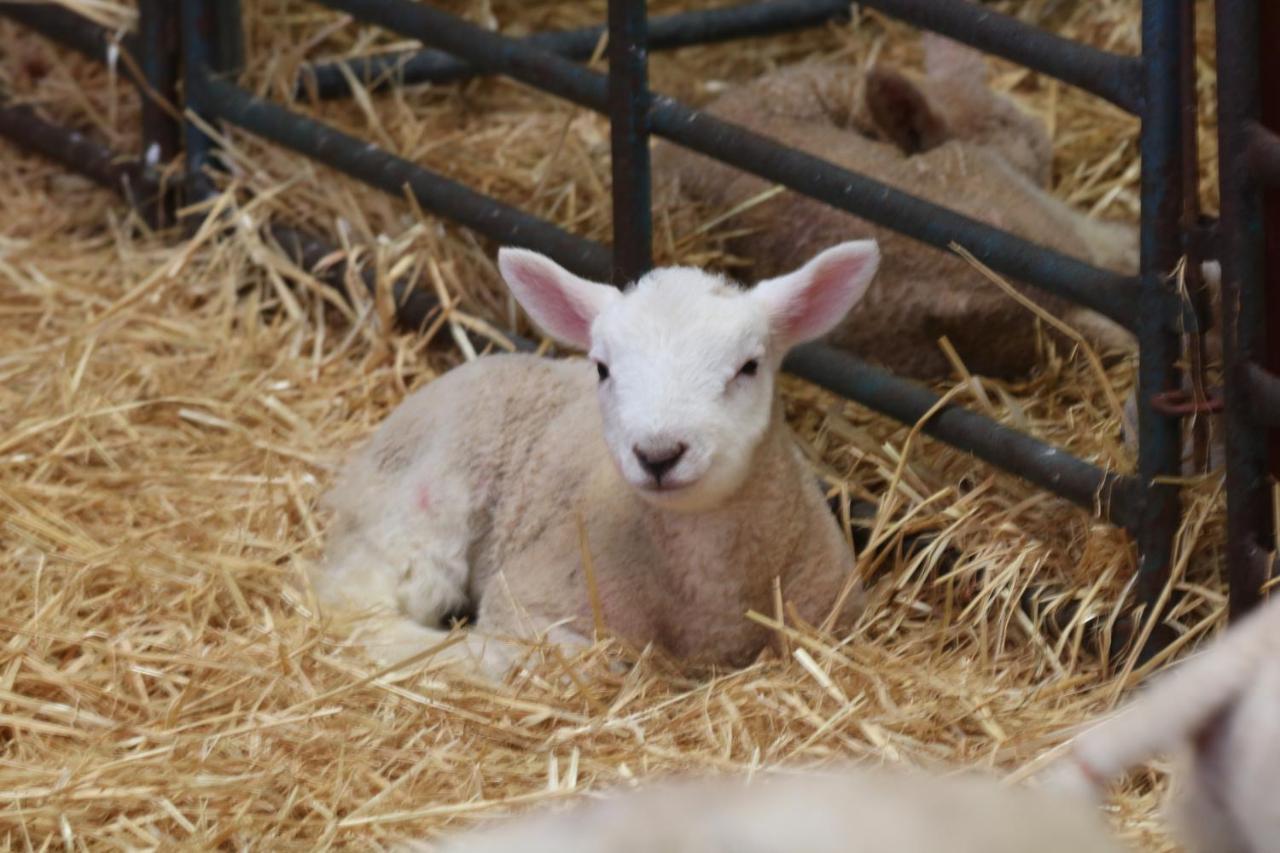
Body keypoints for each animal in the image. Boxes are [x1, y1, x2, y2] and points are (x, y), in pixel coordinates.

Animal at [312, 236, 880, 671]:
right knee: (352, 601)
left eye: (749, 367)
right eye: (603, 368)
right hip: (418, 507)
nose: (658, 453)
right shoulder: (530, 601)